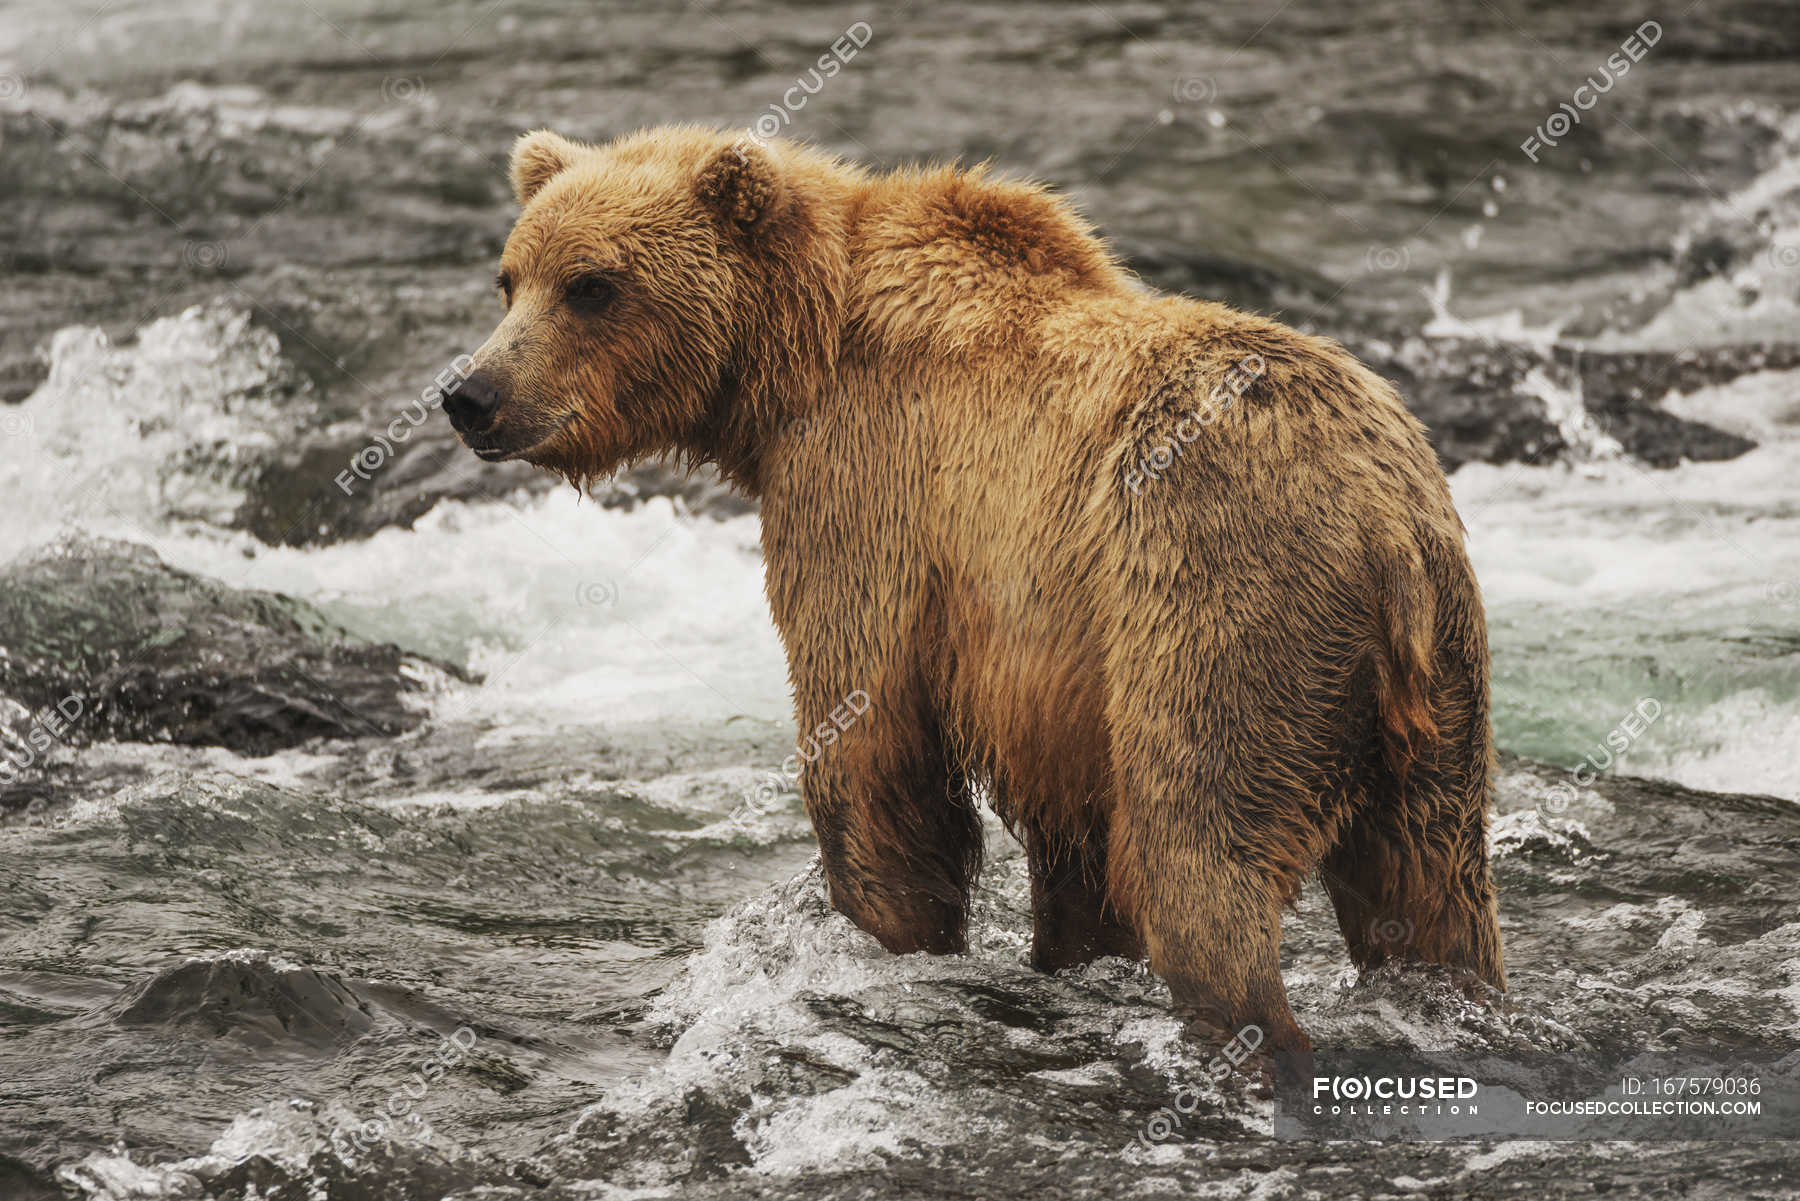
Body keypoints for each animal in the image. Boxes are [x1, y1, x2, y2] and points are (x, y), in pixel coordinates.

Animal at [446, 124, 1504, 1058]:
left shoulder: (868, 502)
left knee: (1200, 859)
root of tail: (1383, 527)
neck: (792, 367)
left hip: (1222, 612)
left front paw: (891, 937)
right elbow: (1076, 851)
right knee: (1433, 886)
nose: (471, 395)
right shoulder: (1055, 680)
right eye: (510, 277)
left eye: (592, 285)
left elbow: (870, 748)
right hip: (1436, 691)